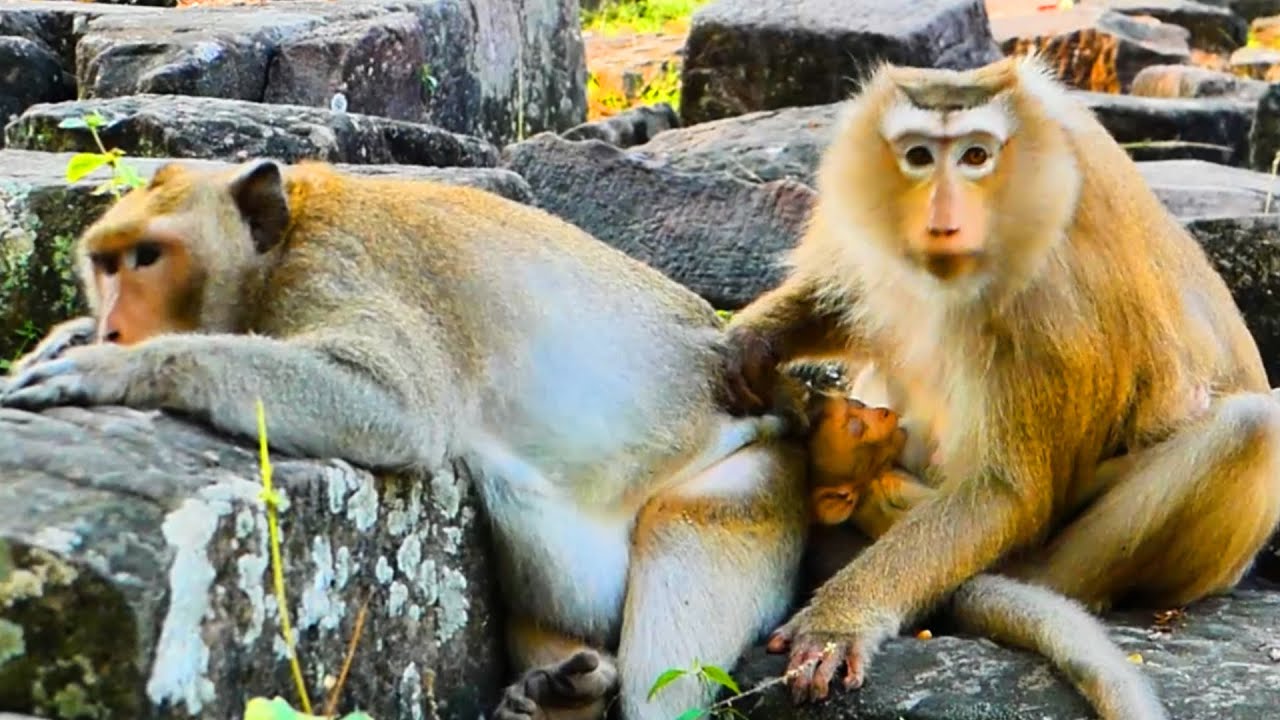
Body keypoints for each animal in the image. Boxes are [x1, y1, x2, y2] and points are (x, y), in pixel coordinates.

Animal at [0, 159, 810, 720]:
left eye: (147, 257)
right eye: (104, 263)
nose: (112, 325)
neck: (279, 246)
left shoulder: (333, 270)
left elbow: (396, 409)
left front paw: (114, 369)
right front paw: (63, 340)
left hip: (753, 490)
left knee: (672, 609)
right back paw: (561, 695)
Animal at [719, 53, 1280, 719]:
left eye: (975, 156)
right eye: (918, 156)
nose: (942, 218)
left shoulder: (1050, 292)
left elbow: (1004, 491)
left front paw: (842, 617)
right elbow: (846, 293)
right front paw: (757, 338)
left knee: (1251, 427)